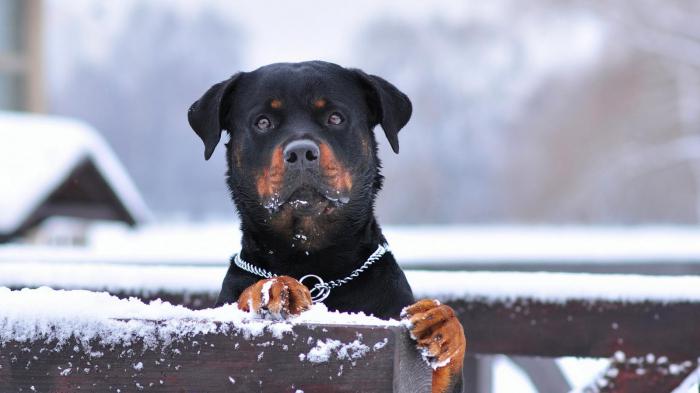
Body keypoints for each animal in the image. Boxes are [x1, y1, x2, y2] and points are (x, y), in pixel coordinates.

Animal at [189, 61, 468, 392]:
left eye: (335, 117)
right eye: (263, 122)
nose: (300, 153)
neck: (314, 261)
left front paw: (442, 324)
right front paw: (273, 288)